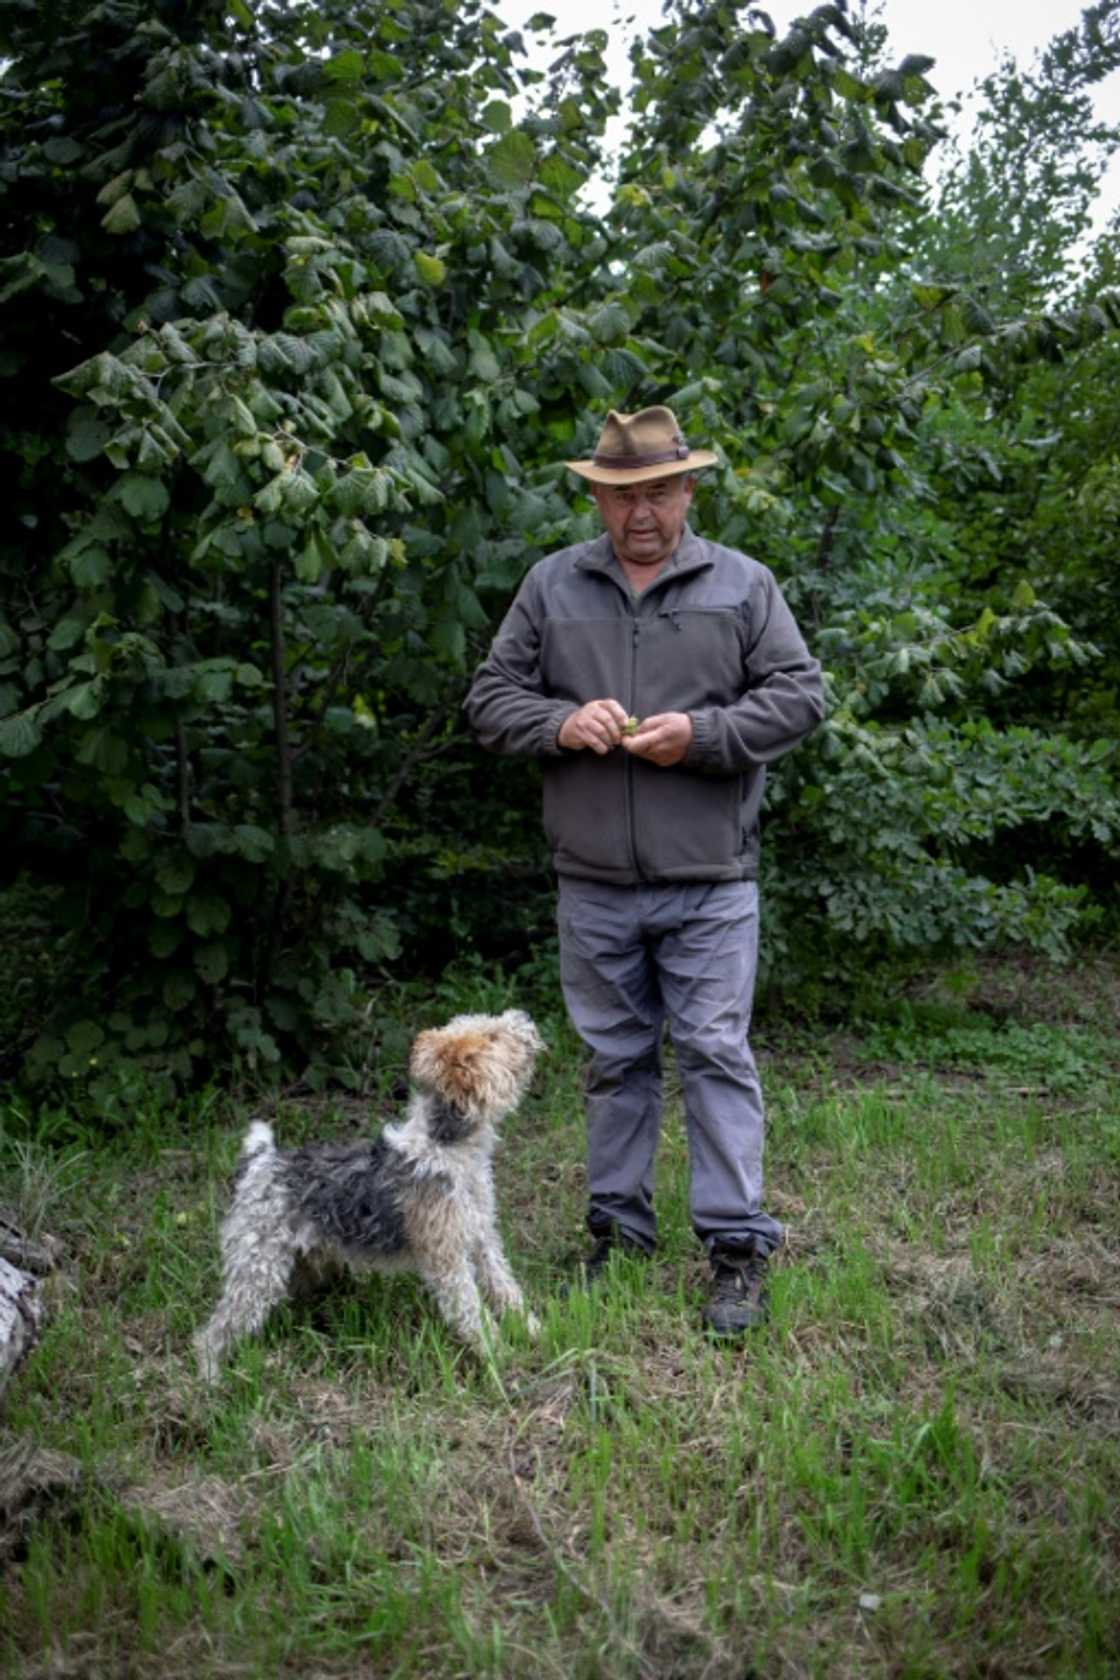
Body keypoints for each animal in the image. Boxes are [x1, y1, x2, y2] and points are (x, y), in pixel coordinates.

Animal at [197, 1007, 547, 1377]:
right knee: (214, 1332)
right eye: (492, 1037)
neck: (447, 1147)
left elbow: (508, 1291)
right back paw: (212, 1378)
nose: (523, 1015)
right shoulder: (448, 1260)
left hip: (296, 1265)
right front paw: (500, 1357)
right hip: (256, 1270)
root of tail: (260, 1160)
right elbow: (473, 1314)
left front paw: (536, 1333)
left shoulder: (483, 1241)